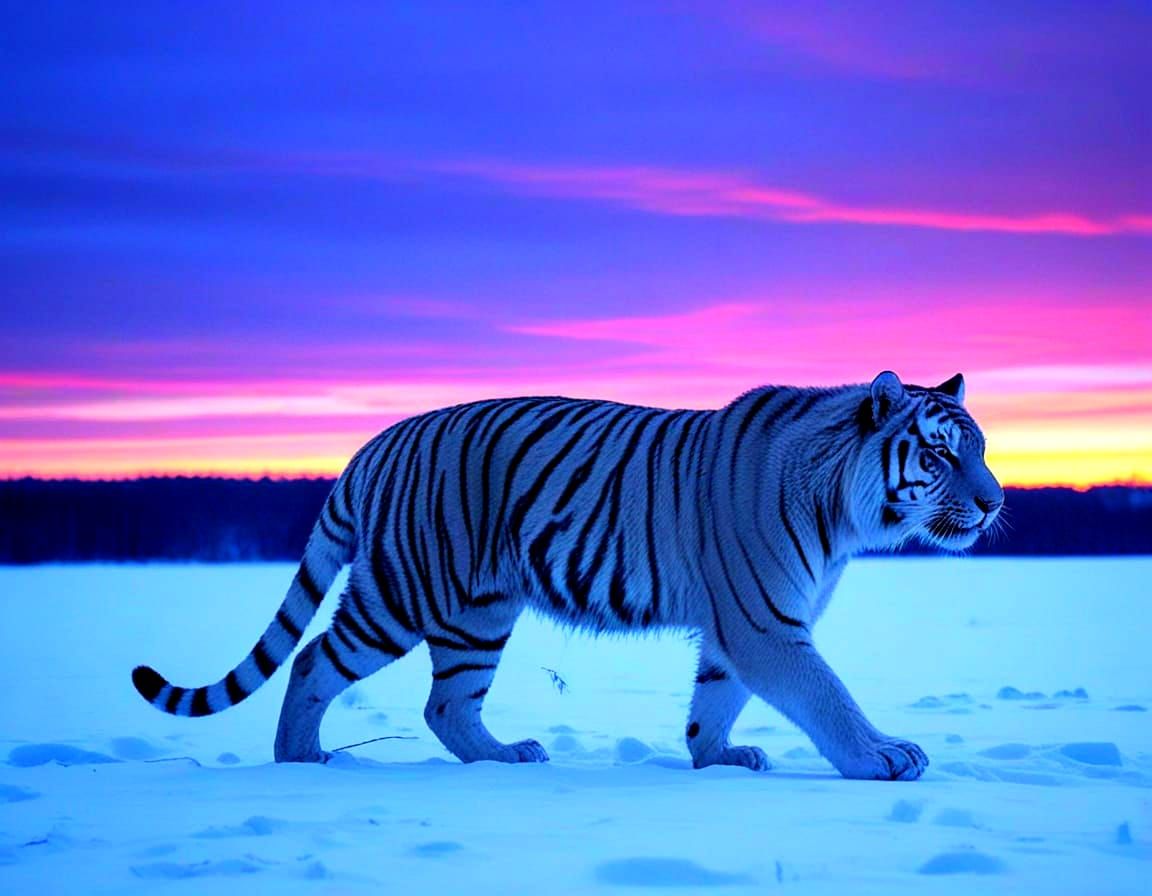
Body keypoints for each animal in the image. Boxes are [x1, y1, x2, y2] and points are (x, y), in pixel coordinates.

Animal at [132, 370, 1003, 781]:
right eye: (938, 454)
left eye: (983, 449)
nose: (996, 502)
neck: (844, 515)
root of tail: (373, 443)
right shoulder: (765, 623)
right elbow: (828, 696)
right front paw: (882, 757)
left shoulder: (742, 629)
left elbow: (712, 702)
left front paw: (715, 759)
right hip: (402, 596)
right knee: (314, 658)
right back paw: (299, 761)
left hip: (480, 614)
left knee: (447, 704)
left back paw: (505, 755)